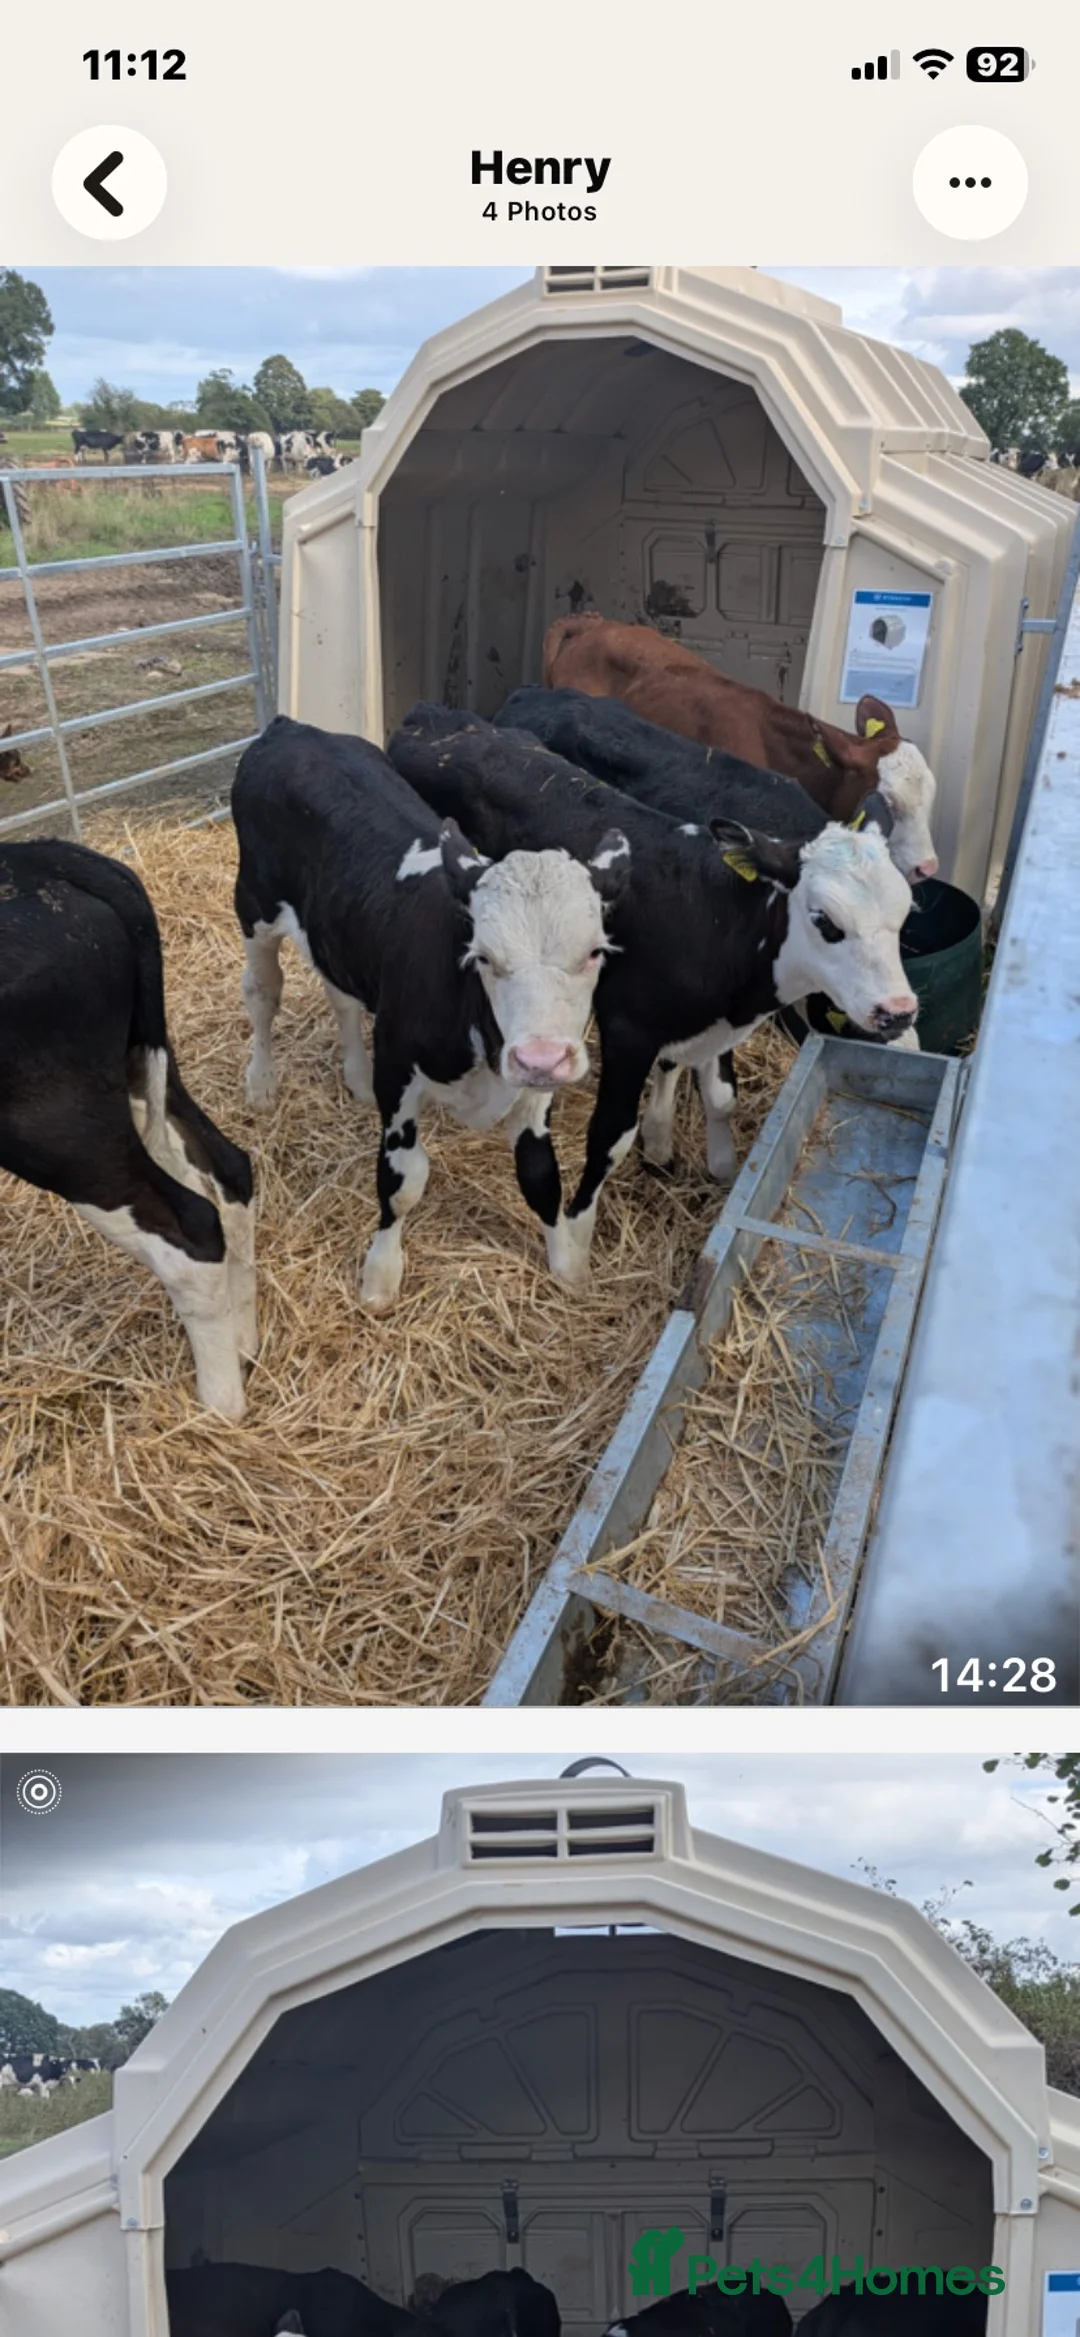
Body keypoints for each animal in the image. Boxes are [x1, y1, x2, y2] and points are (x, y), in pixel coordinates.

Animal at [0, 839, 256, 1419]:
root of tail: (43, 858)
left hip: (59, 1131)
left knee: (191, 1228)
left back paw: (220, 1406)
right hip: (143, 1066)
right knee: (227, 1169)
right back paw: (244, 1342)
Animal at [232, 716, 627, 1310]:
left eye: (595, 951)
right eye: (484, 956)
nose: (541, 1058)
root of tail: (290, 728)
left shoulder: (535, 1095)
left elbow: (542, 1176)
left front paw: (567, 1264)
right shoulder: (398, 1070)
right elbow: (403, 1181)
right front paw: (379, 1277)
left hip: (336, 934)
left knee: (341, 997)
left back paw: (355, 1076)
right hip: (253, 907)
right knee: (262, 993)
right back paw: (261, 1082)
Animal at [388, 706, 916, 1282]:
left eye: (905, 910)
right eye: (826, 921)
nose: (898, 1011)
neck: (712, 914)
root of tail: (434, 717)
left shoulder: (717, 1023)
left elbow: (721, 1096)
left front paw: (721, 1167)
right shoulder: (628, 1030)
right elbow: (609, 1134)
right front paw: (578, 1237)